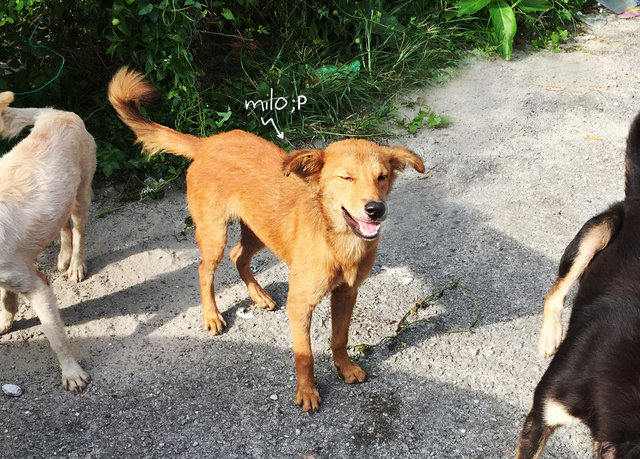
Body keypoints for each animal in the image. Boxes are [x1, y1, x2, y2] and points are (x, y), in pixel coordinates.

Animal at [0, 92, 96, 392]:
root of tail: (54, 113)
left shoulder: (38, 288)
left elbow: (56, 338)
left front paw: (71, 373)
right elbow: (6, 296)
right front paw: (5, 318)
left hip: (81, 193)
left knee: (79, 231)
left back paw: (75, 264)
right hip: (59, 201)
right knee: (62, 227)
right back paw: (64, 257)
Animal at [107, 67, 422, 410]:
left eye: (382, 177)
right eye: (347, 177)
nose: (375, 210)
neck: (338, 243)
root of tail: (208, 143)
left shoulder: (346, 294)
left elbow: (340, 337)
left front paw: (345, 368)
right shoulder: (300, 304)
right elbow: (305, 354)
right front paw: (307, 392)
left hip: (260, 231)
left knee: (239, 255)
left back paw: (258, 295)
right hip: (215, 233)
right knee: (205, 269)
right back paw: (212, 316)